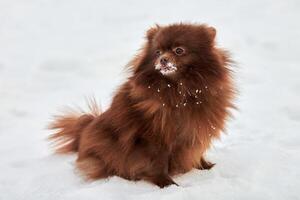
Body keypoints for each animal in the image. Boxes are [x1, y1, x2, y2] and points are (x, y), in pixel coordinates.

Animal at [49, 23, 236, 188]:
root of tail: (83, 132)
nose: (163, 59)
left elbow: (196, 151)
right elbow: (158, 163)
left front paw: (205, 167)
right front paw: (167, 184)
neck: (179, 92)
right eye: (158, 52)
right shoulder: (154, 138)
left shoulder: (193, 132)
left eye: (179, 50)